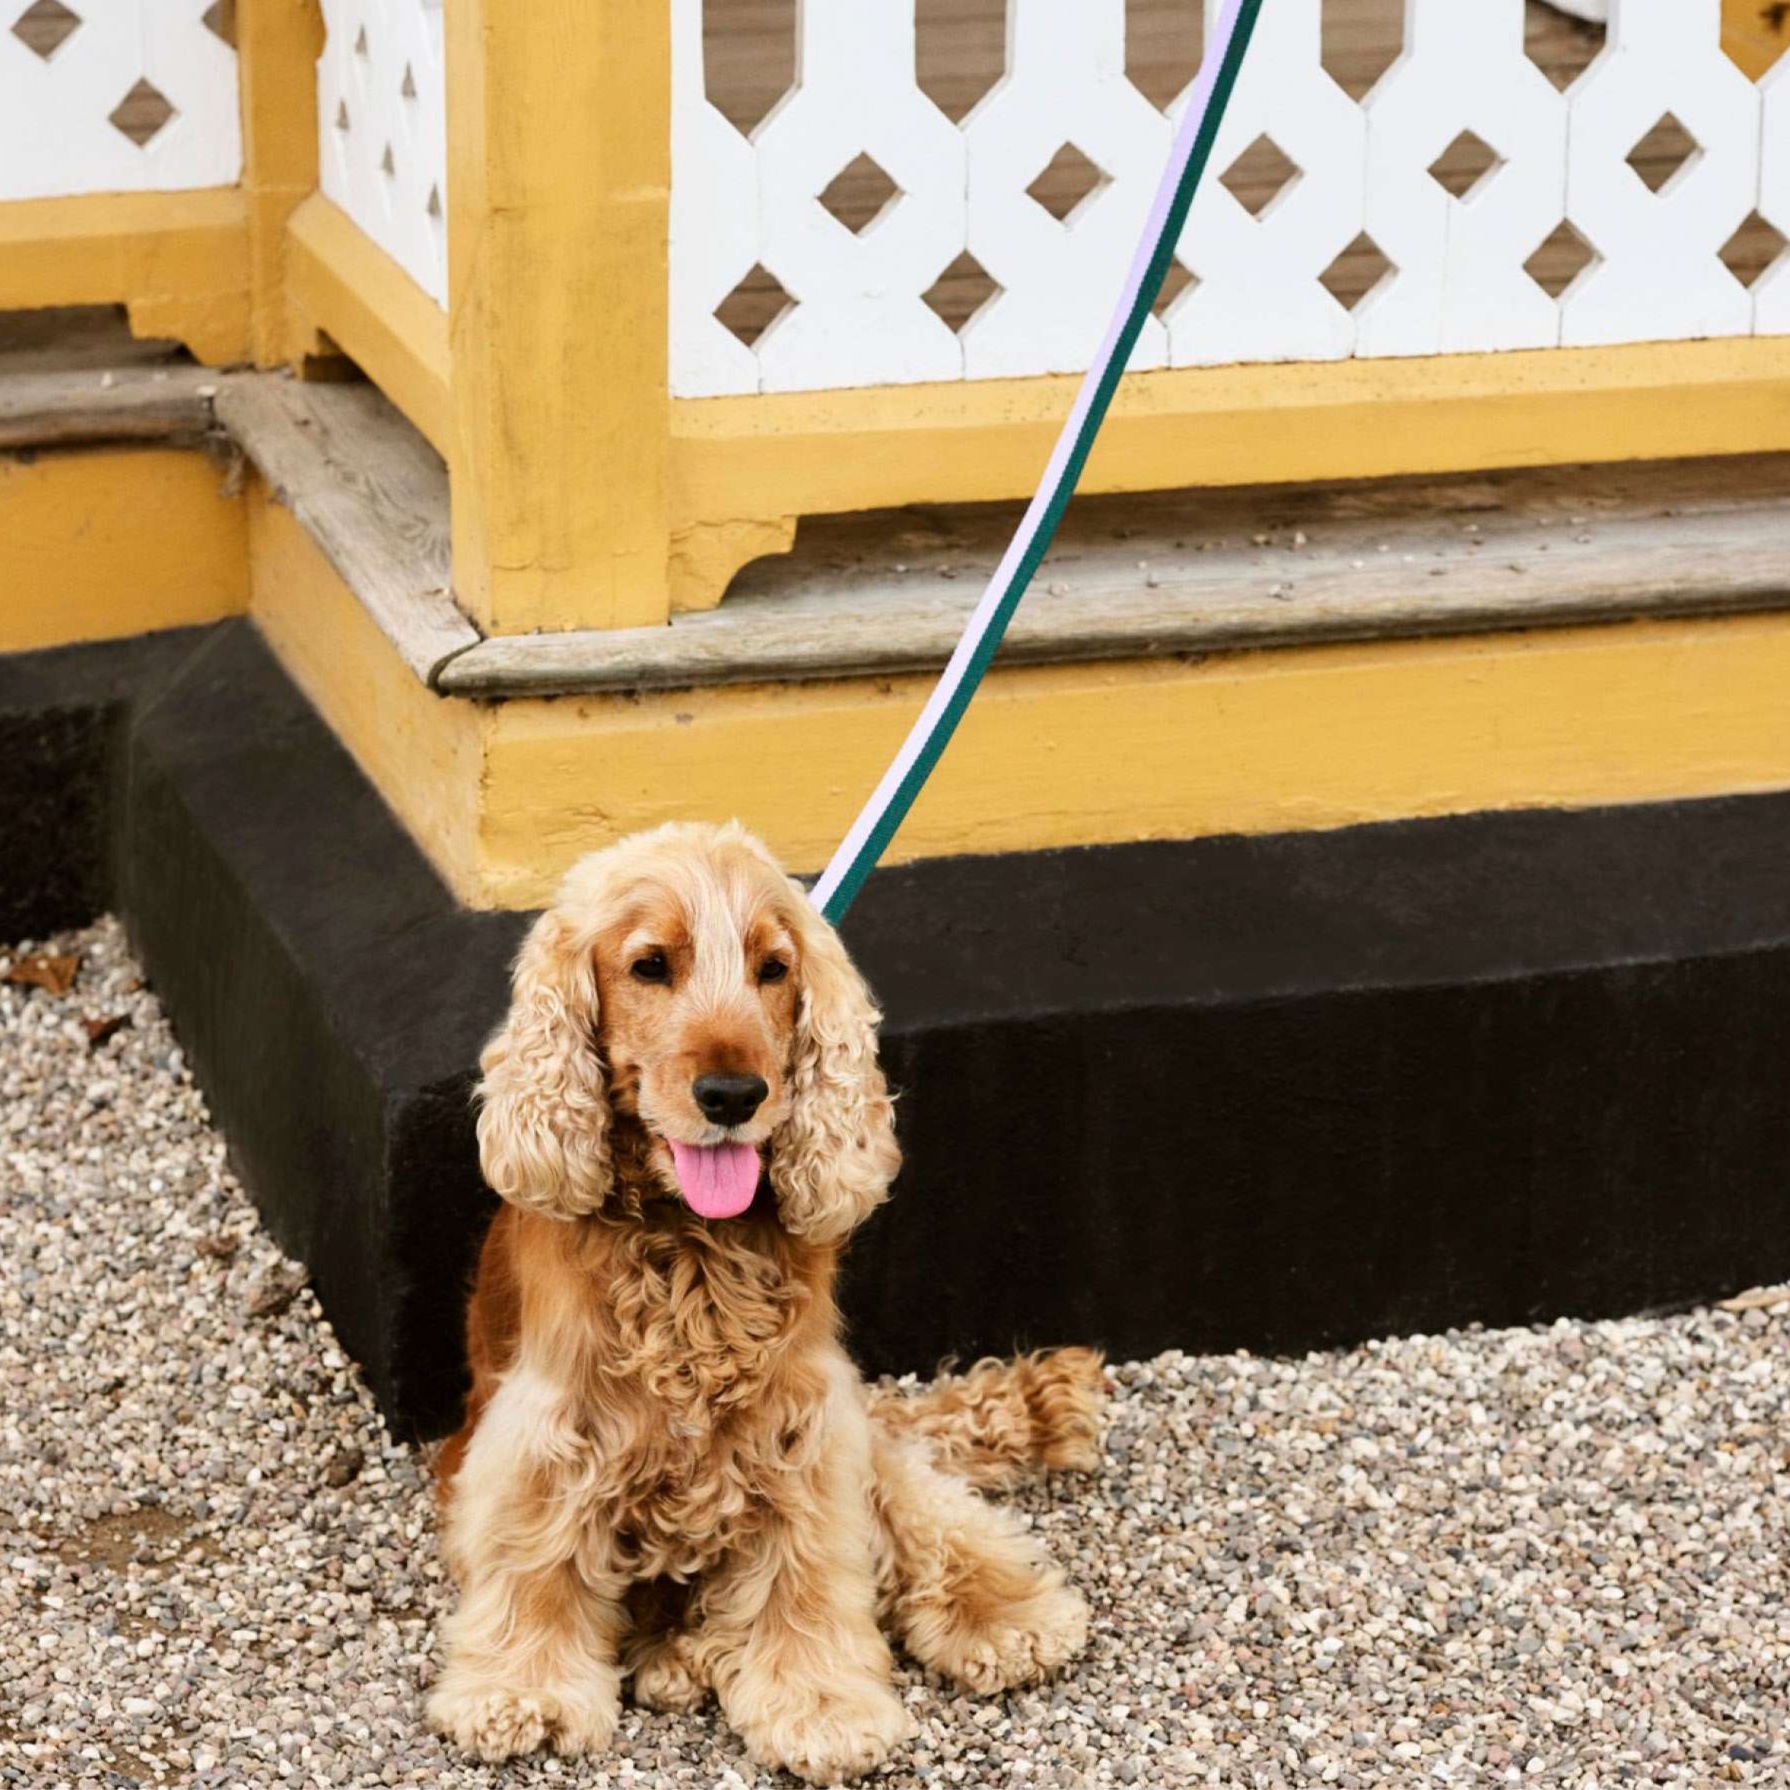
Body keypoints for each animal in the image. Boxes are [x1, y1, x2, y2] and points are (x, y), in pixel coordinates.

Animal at [433, 819, 1102, 1775]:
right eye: (649, 965)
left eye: (774, 969)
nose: (733, 1095)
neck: (689, 1244)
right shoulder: (549, 1431)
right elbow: (540, 1560)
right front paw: (522, 1693)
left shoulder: (803, 1424)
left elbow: (806, 1570)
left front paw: (822, 1706)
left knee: (920, 1506)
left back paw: (1004, 1613)